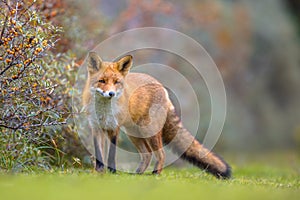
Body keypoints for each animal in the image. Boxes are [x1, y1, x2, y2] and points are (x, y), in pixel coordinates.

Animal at [82, 52, 232, 179]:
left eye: (116, 82)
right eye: (102, 81)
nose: (111, 94)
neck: (103, 110)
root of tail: (161, 86)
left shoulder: (114, 127)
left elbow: (112, 154)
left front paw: (112, 172)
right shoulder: (96, 127)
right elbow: (99, 153)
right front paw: (99, 172)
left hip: (149, 131)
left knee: (161, 154)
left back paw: (155, 175)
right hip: (134, 133)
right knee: (147, 155)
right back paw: (137, 175)